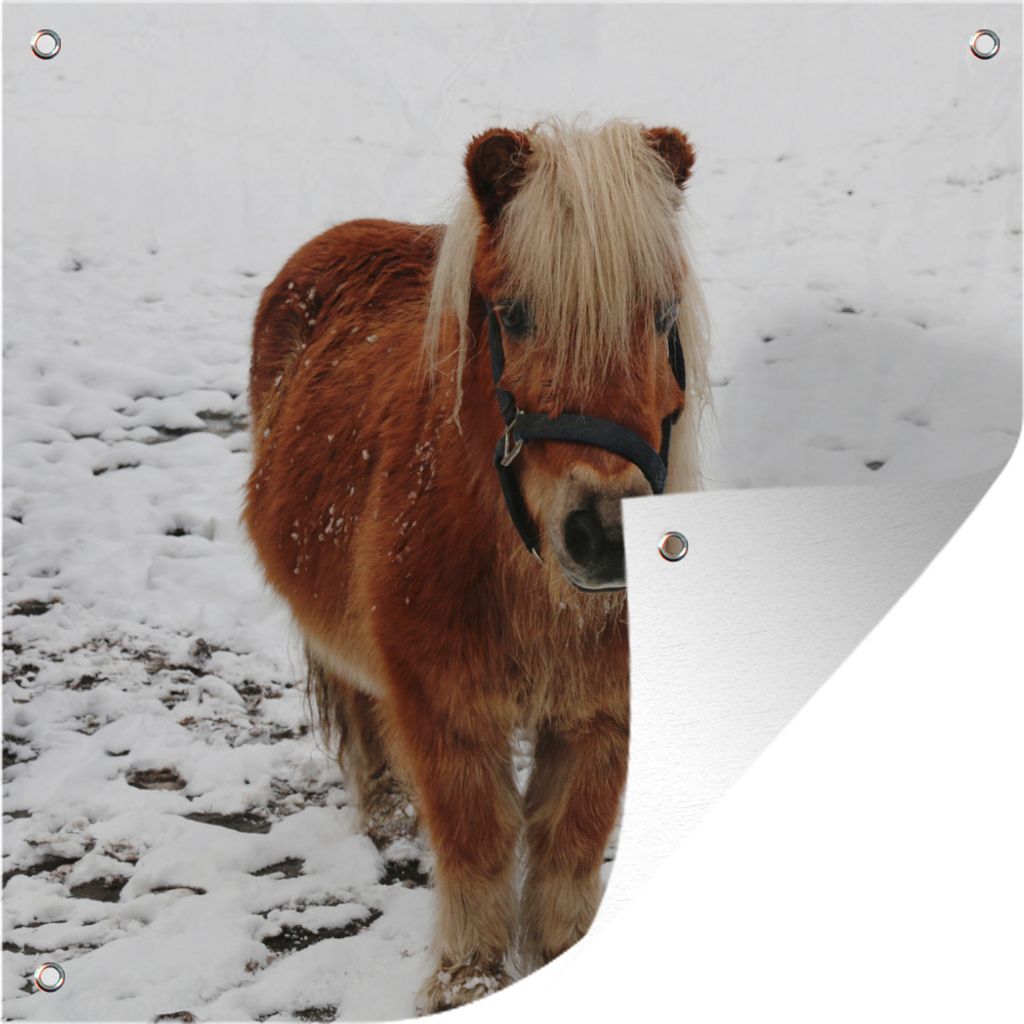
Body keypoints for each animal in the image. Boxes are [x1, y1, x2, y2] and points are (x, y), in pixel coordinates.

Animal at [244, 118, 709, 1013]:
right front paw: (468, 984)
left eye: (663, 312)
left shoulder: (602, 718)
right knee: (360, 709)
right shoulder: (445, 713)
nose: (605, 535)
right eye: (514, 315)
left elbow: (568, 850)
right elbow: (479, 847)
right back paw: (386, 816)